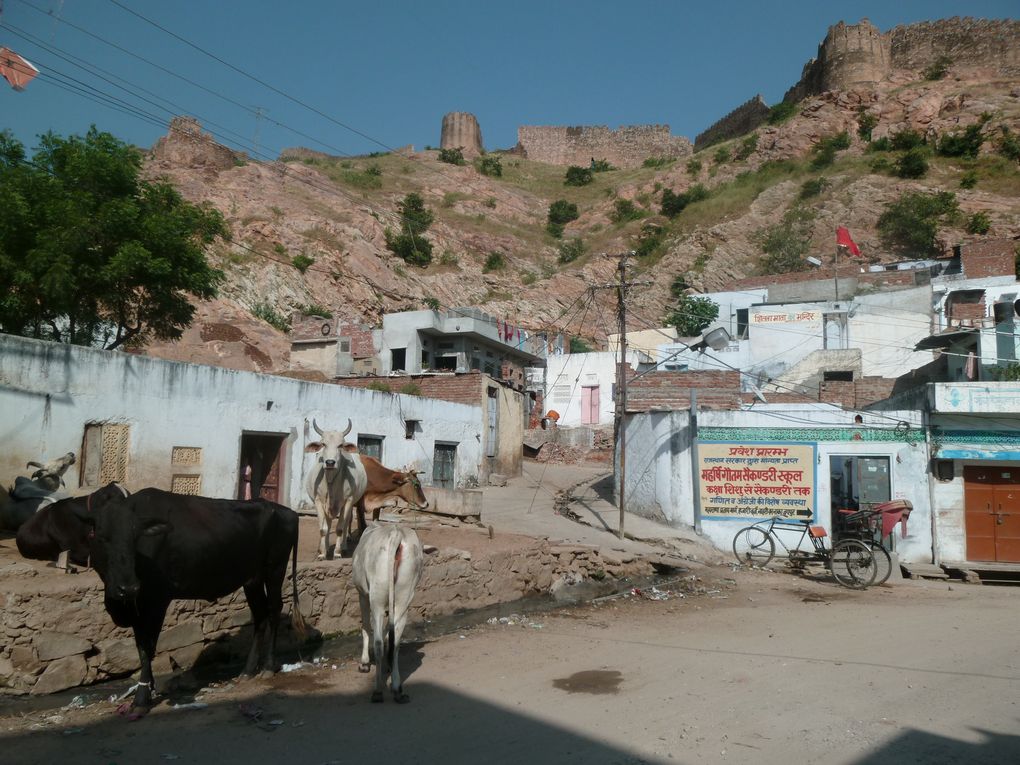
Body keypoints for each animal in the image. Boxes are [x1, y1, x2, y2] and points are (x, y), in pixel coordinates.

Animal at [18, 487, 306, 718]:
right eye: (100, 536)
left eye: (134, 538)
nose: (127, 587)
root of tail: (286, 511)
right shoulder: (136, 606)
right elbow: (140, 646)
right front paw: (149, 688)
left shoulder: (157, 600)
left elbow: (148, 647)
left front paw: (142, 699)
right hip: (252, 578)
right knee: (259, 615)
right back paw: (247, 670)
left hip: (275, 568)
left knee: (274, 610)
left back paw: (268, 666)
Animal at [303, 422, 369, 558]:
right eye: (323, 444)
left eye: (340, 445)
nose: (330, 462)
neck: (331, 480)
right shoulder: (318, 501)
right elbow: (323, 529)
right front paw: (322, 553)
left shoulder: (348, 501)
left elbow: (340, 528)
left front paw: (337, 552)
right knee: (328, 524)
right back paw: (327, 546)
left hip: (352, 502)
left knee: (346, 522)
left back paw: (343, 546)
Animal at [352, 526, 424, 705]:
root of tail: (396, 532)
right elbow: (387, 634)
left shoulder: (362, 595)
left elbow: (365, 628)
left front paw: (364, 663)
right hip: (404, 598)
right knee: (395, 643)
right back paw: (397, 689)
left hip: (376, 599)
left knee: (377, 642)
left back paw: (378, 691)